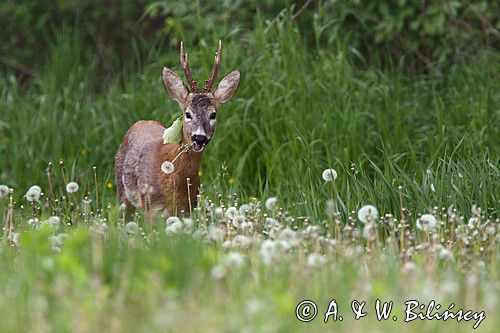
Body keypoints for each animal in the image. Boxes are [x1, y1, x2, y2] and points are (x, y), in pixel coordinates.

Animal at [117, 40, 242, 217]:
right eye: (188, 114)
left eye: (213, 114)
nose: (199, 137)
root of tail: (141, 122)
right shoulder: (150, 207)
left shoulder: (188, 209)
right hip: (122, 190)